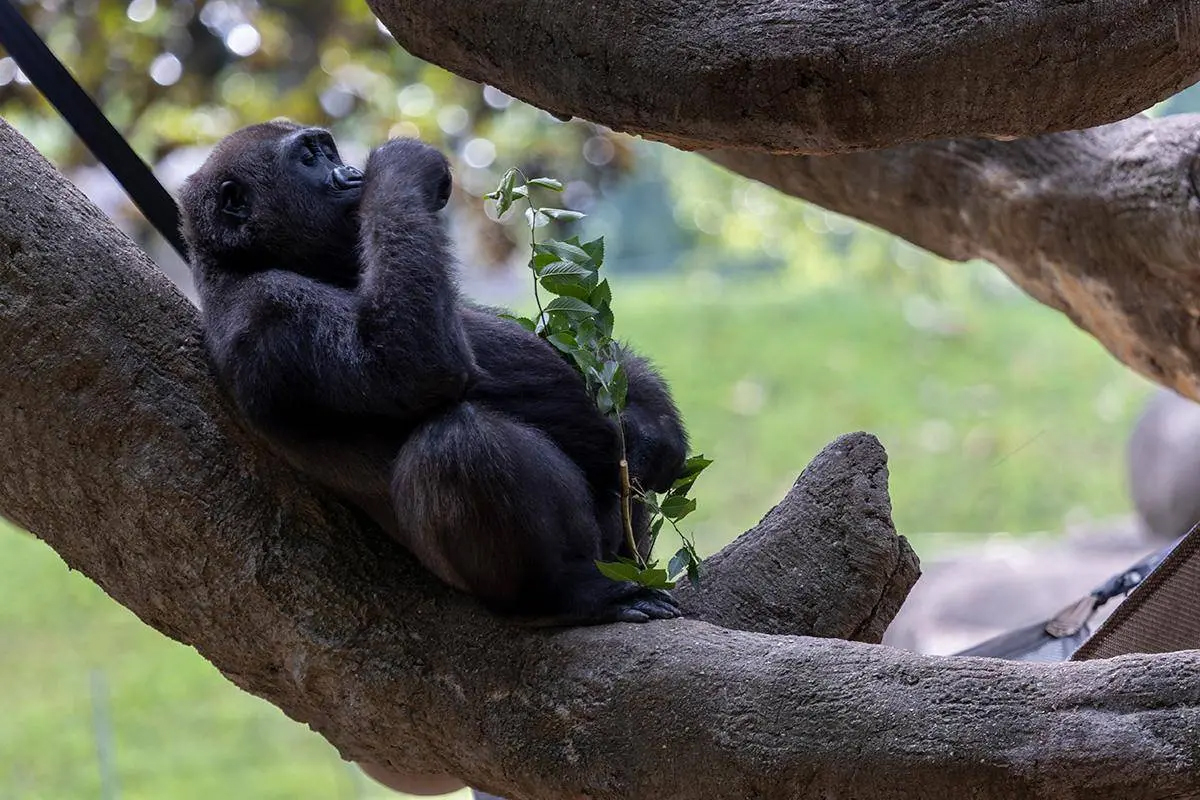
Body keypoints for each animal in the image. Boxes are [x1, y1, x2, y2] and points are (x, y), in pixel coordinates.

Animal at [175, 122, 686, 628]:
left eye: (328, 152)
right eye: (308, 159)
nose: (351, 173)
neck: (241, 259)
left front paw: (653, 431)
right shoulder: (268, 311)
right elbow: (409, 365)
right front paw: (402, 164)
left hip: (626, 553)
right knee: (459, 442)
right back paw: (561, 591)